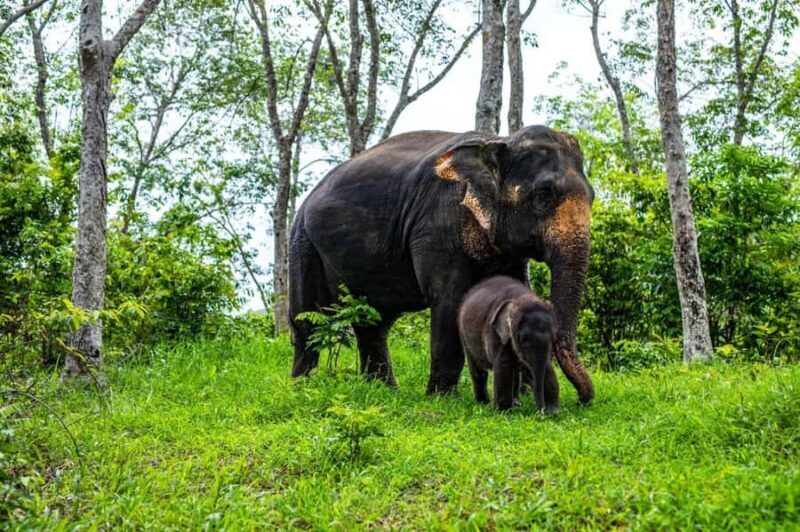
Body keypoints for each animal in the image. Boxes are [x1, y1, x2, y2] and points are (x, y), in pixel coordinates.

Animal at [458, 276, 555, 412]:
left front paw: (553, 412)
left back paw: (516, 403)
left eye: (553, 337)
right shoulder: (495, 332)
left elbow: (547, 365)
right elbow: (504, 364)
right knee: (477, 369)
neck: (522, 298)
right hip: (463, 333)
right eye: (522, 339)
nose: (540, 411)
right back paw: (483, 403)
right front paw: (503, 411)